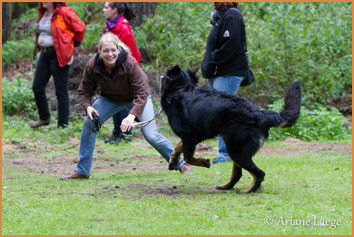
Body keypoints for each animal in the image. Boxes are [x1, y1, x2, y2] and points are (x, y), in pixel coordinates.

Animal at [160, 65, 302, 193]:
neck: (180, 90)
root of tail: (259, 114)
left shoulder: (189, 136)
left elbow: (188, 157)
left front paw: (204, 162)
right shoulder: (194, 136)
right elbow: (178, 146)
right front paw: (173, 160)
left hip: (236, 151)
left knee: (259, 173)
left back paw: (249, 190)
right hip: (234, 149)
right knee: (238, 174)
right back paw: (226, 187)